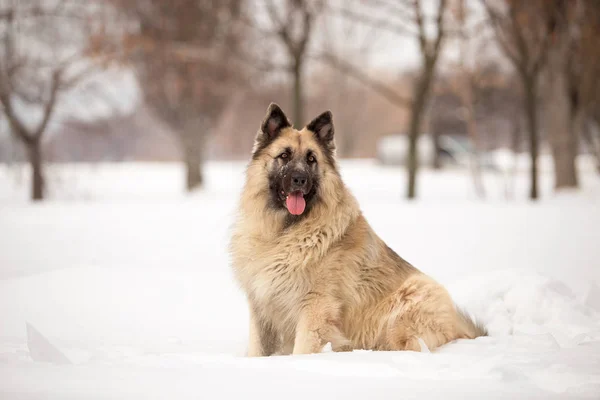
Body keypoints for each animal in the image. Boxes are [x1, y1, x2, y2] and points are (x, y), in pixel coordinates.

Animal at [230, 103, 488, 356]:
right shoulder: (261, 306)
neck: (283, 231)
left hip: (406, 308)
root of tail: (459, 326)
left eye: (311, 159)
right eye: (284, 155)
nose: (300, 180)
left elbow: (302, 350)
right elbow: (257, 349)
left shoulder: (315, 307)